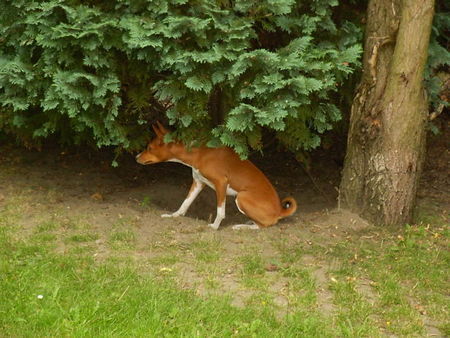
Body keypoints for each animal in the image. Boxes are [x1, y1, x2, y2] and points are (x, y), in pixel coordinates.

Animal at [135, 121, 298, 230]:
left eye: (149, 148)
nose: (136, 157)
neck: (198, 153)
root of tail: (280, 210)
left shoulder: (221, 183)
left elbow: (220, 211)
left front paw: (214, 227)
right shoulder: (198, 182)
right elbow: (185, 203)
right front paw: (174, 215)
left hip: (242, 197)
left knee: (262, 226)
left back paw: (241, 226)